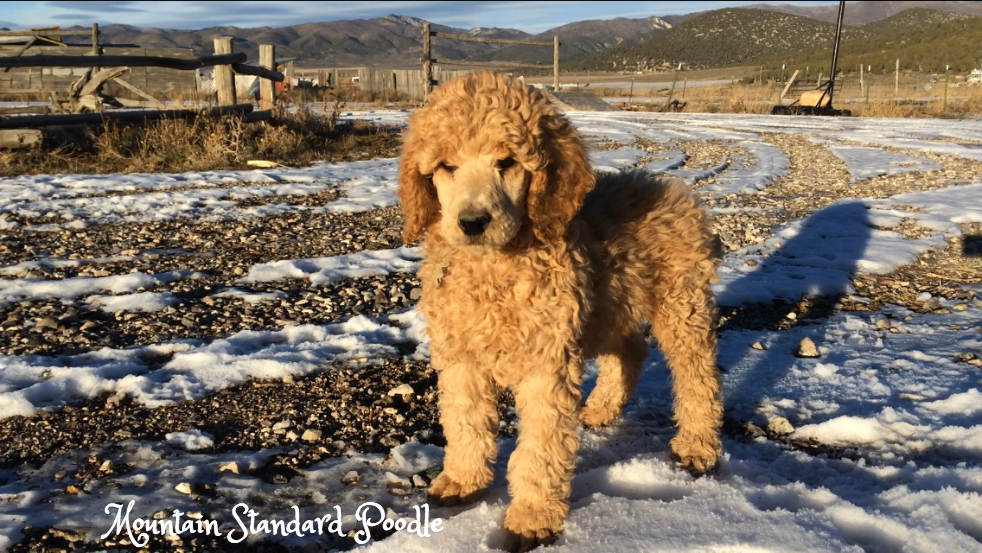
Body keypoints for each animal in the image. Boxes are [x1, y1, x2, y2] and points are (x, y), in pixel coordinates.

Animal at [398, 71, 724, 548]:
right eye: (446, 167)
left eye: (506, 162)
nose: (472, 222)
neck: (495, 267)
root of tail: (674, 189)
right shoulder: (460, 356)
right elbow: (465, 422)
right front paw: (462, 480)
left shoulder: (546, 360)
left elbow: (541, 445)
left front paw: (532, 517)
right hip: (610, 304)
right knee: (630, 351)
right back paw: (601, 407)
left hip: (681, 303)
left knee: (697, 374)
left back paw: (698, 445)